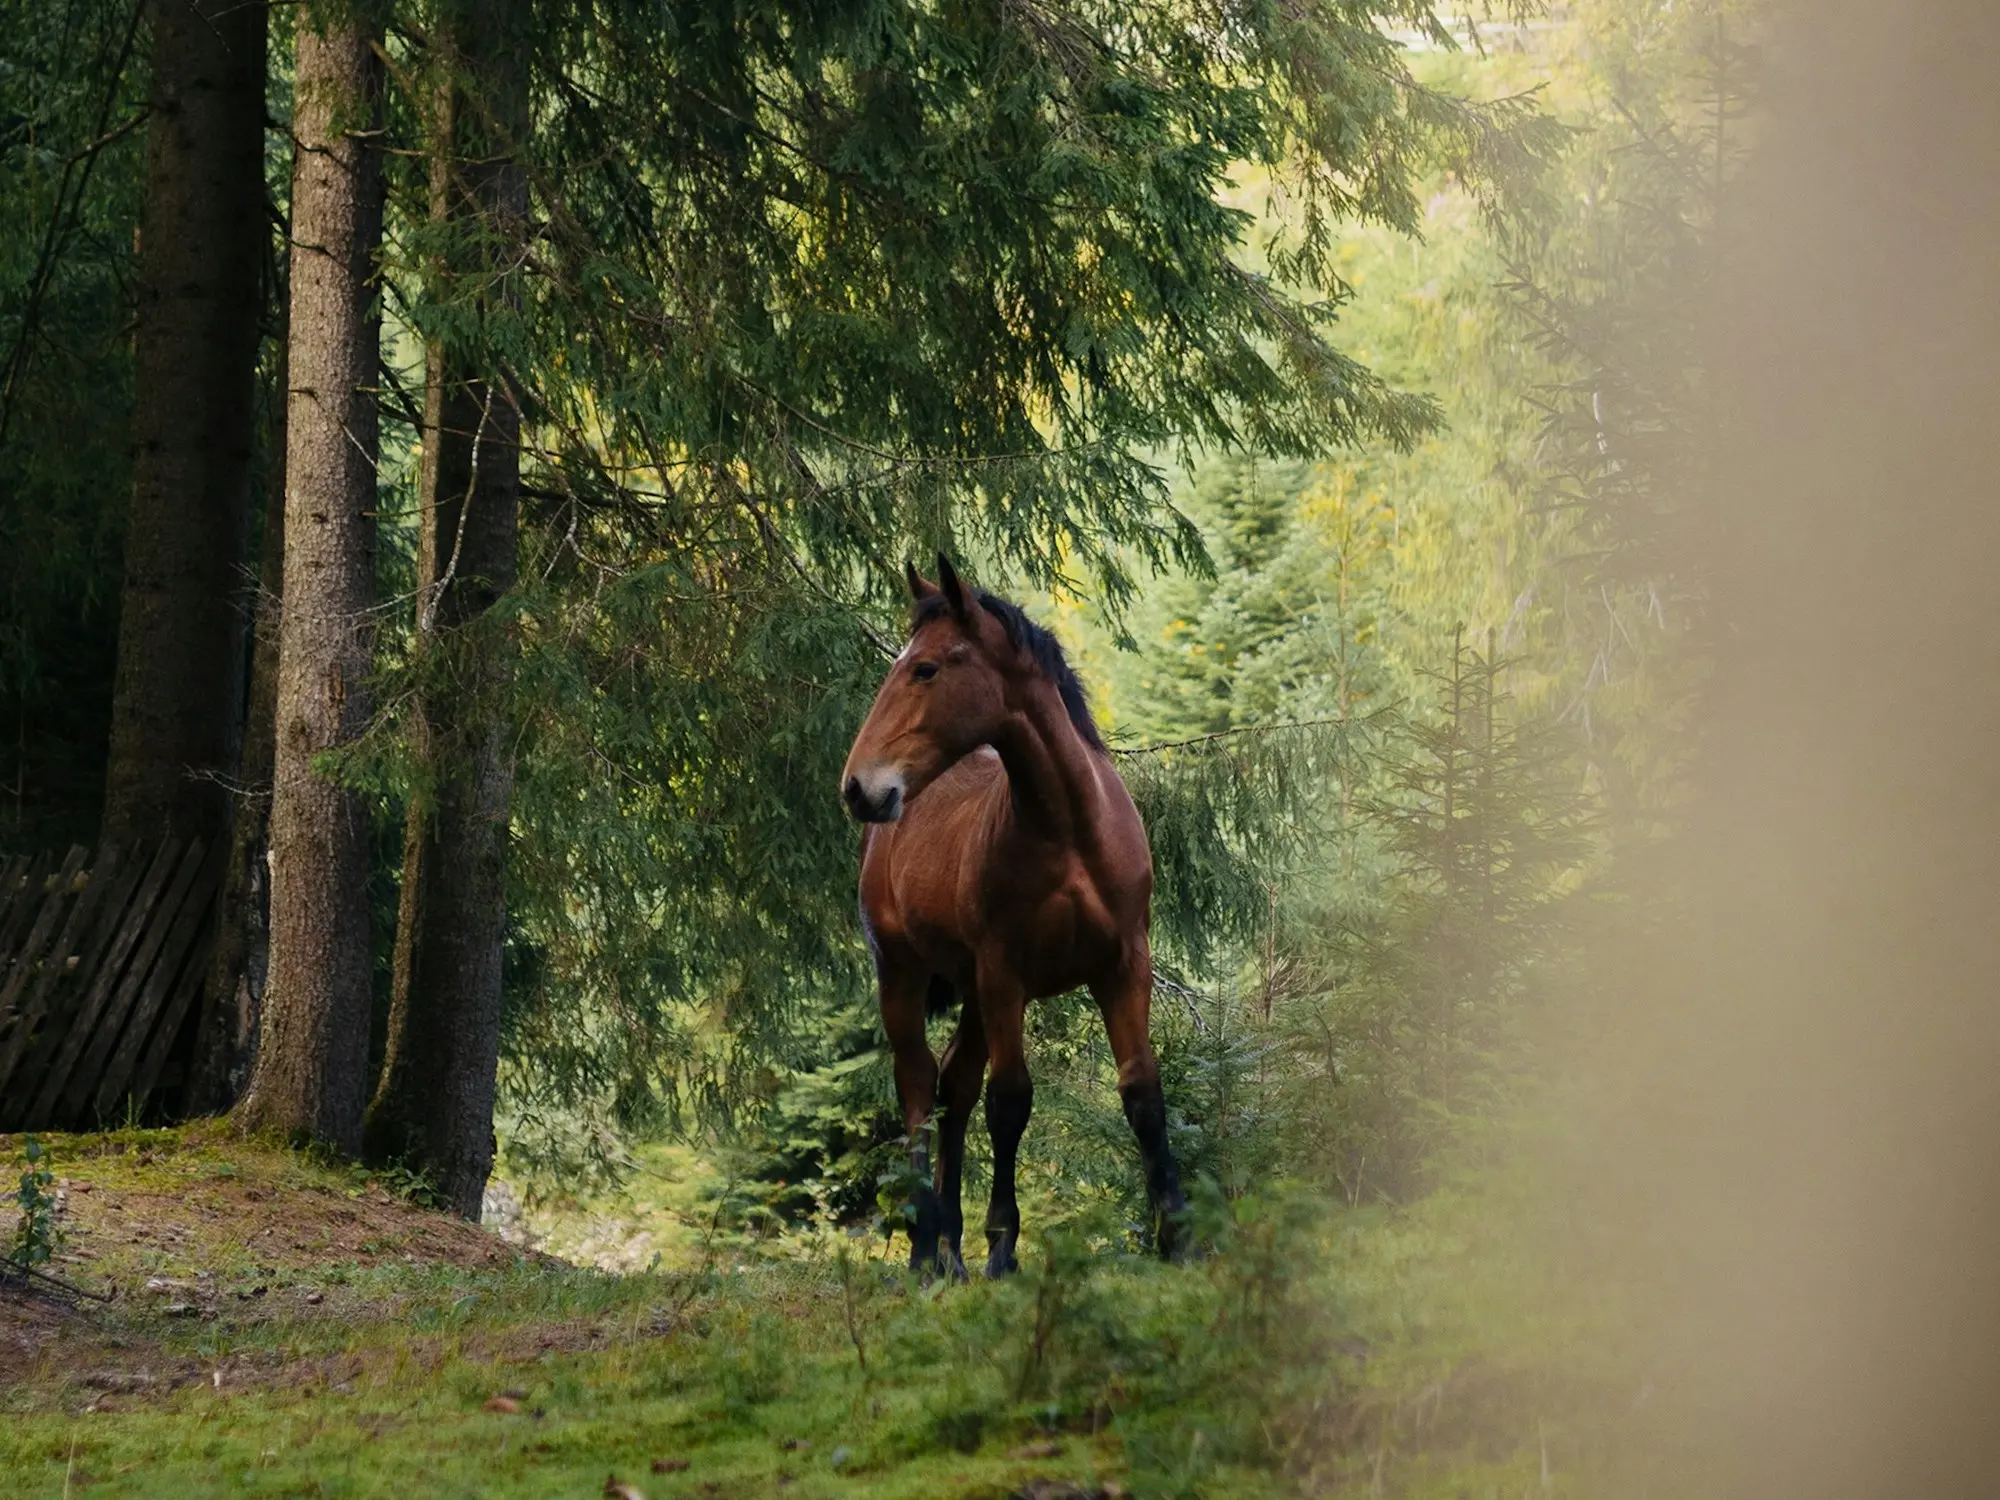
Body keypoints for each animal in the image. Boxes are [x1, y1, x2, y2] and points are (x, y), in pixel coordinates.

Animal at [836, 560, 1176, 1288]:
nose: (859, 788)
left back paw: (949, 1249)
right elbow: (1011, 1102)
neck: (1070, 834)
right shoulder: (1005, 976)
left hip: (971, 994)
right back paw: (924, 1248)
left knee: (953, 1087)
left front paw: (1180, 1236)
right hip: (905, 976)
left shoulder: (1125, 967)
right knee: (918, 1086)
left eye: (926, 668)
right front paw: (1002, 1246)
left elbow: (1142, 1094)